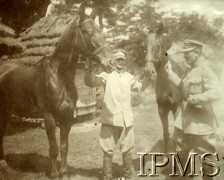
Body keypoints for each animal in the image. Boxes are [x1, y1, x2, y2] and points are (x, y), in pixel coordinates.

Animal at [0, 16, 114, 179]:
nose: (111, 62)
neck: (58, 77)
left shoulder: (67, 117)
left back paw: (3, 164)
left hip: (7, 111)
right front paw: (54, 174)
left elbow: (64, 147)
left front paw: (64, 174)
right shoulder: (49, 118)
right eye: (88, 32)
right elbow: (53, 149)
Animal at [144, 23, 183, 151]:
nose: (148, 71)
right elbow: (166, 135)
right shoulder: (162, 109)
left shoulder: (176, 108)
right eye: (144, 46)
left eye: (157, 45)